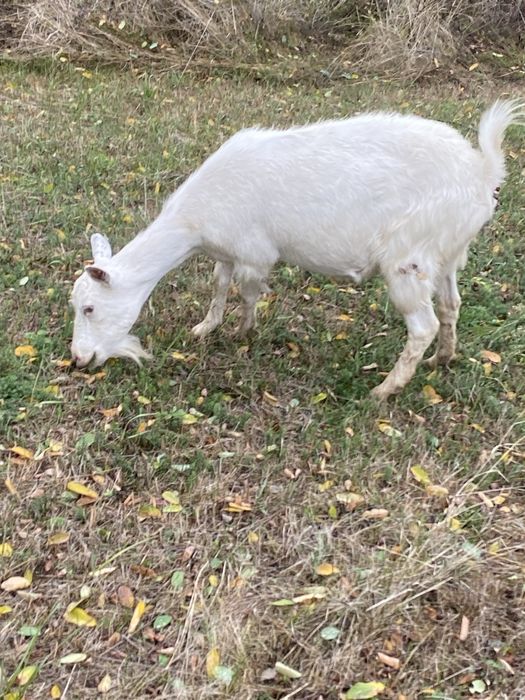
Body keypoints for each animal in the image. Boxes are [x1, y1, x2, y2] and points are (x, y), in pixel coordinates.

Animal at [70, 100, 524, 399]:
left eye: (89, 307)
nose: (79, 358)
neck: (193, 223)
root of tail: (483, 174)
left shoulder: (254, 252)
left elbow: (247, 293)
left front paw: (243, 332)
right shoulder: (226, 251)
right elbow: (218, 285)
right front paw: (205, 327)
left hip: (408, 258)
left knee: (423, 325)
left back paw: (385, 388)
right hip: (446, 254)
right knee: (450, 305)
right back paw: (441, 360)